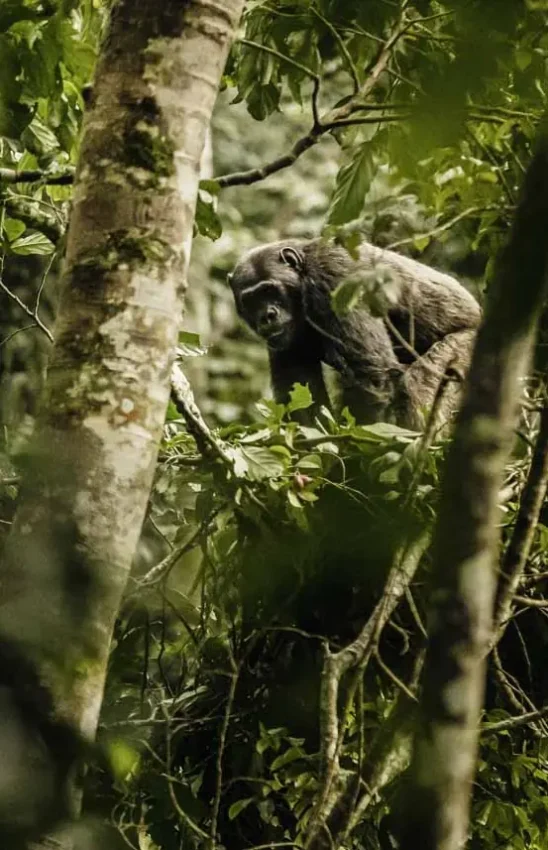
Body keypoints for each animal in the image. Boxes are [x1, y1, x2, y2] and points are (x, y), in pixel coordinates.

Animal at [228, 238, 481, 428]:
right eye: (251, 300)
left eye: (268, 290)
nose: (267, 315)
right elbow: (301, 395)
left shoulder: (335, 278)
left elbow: (371, 378)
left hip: (466, 348)